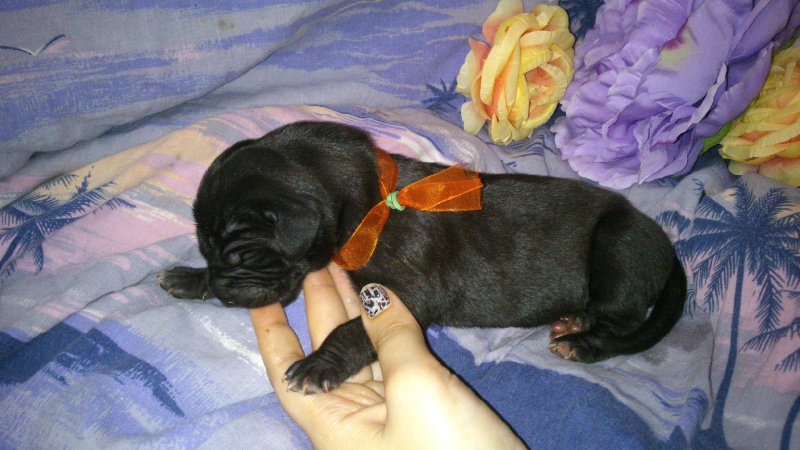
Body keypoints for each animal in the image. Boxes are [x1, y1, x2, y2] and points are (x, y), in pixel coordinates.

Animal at [159, 121, 687, 394]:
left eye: (242, 253)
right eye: (209, 249)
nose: (224, 290)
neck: (367, 198)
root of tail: (665, 245)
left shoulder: (407, 290)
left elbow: (352, 328)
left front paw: (317, 365)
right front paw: (190, 277)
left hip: (616, 244)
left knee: (622, 320)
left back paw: (579, 337)